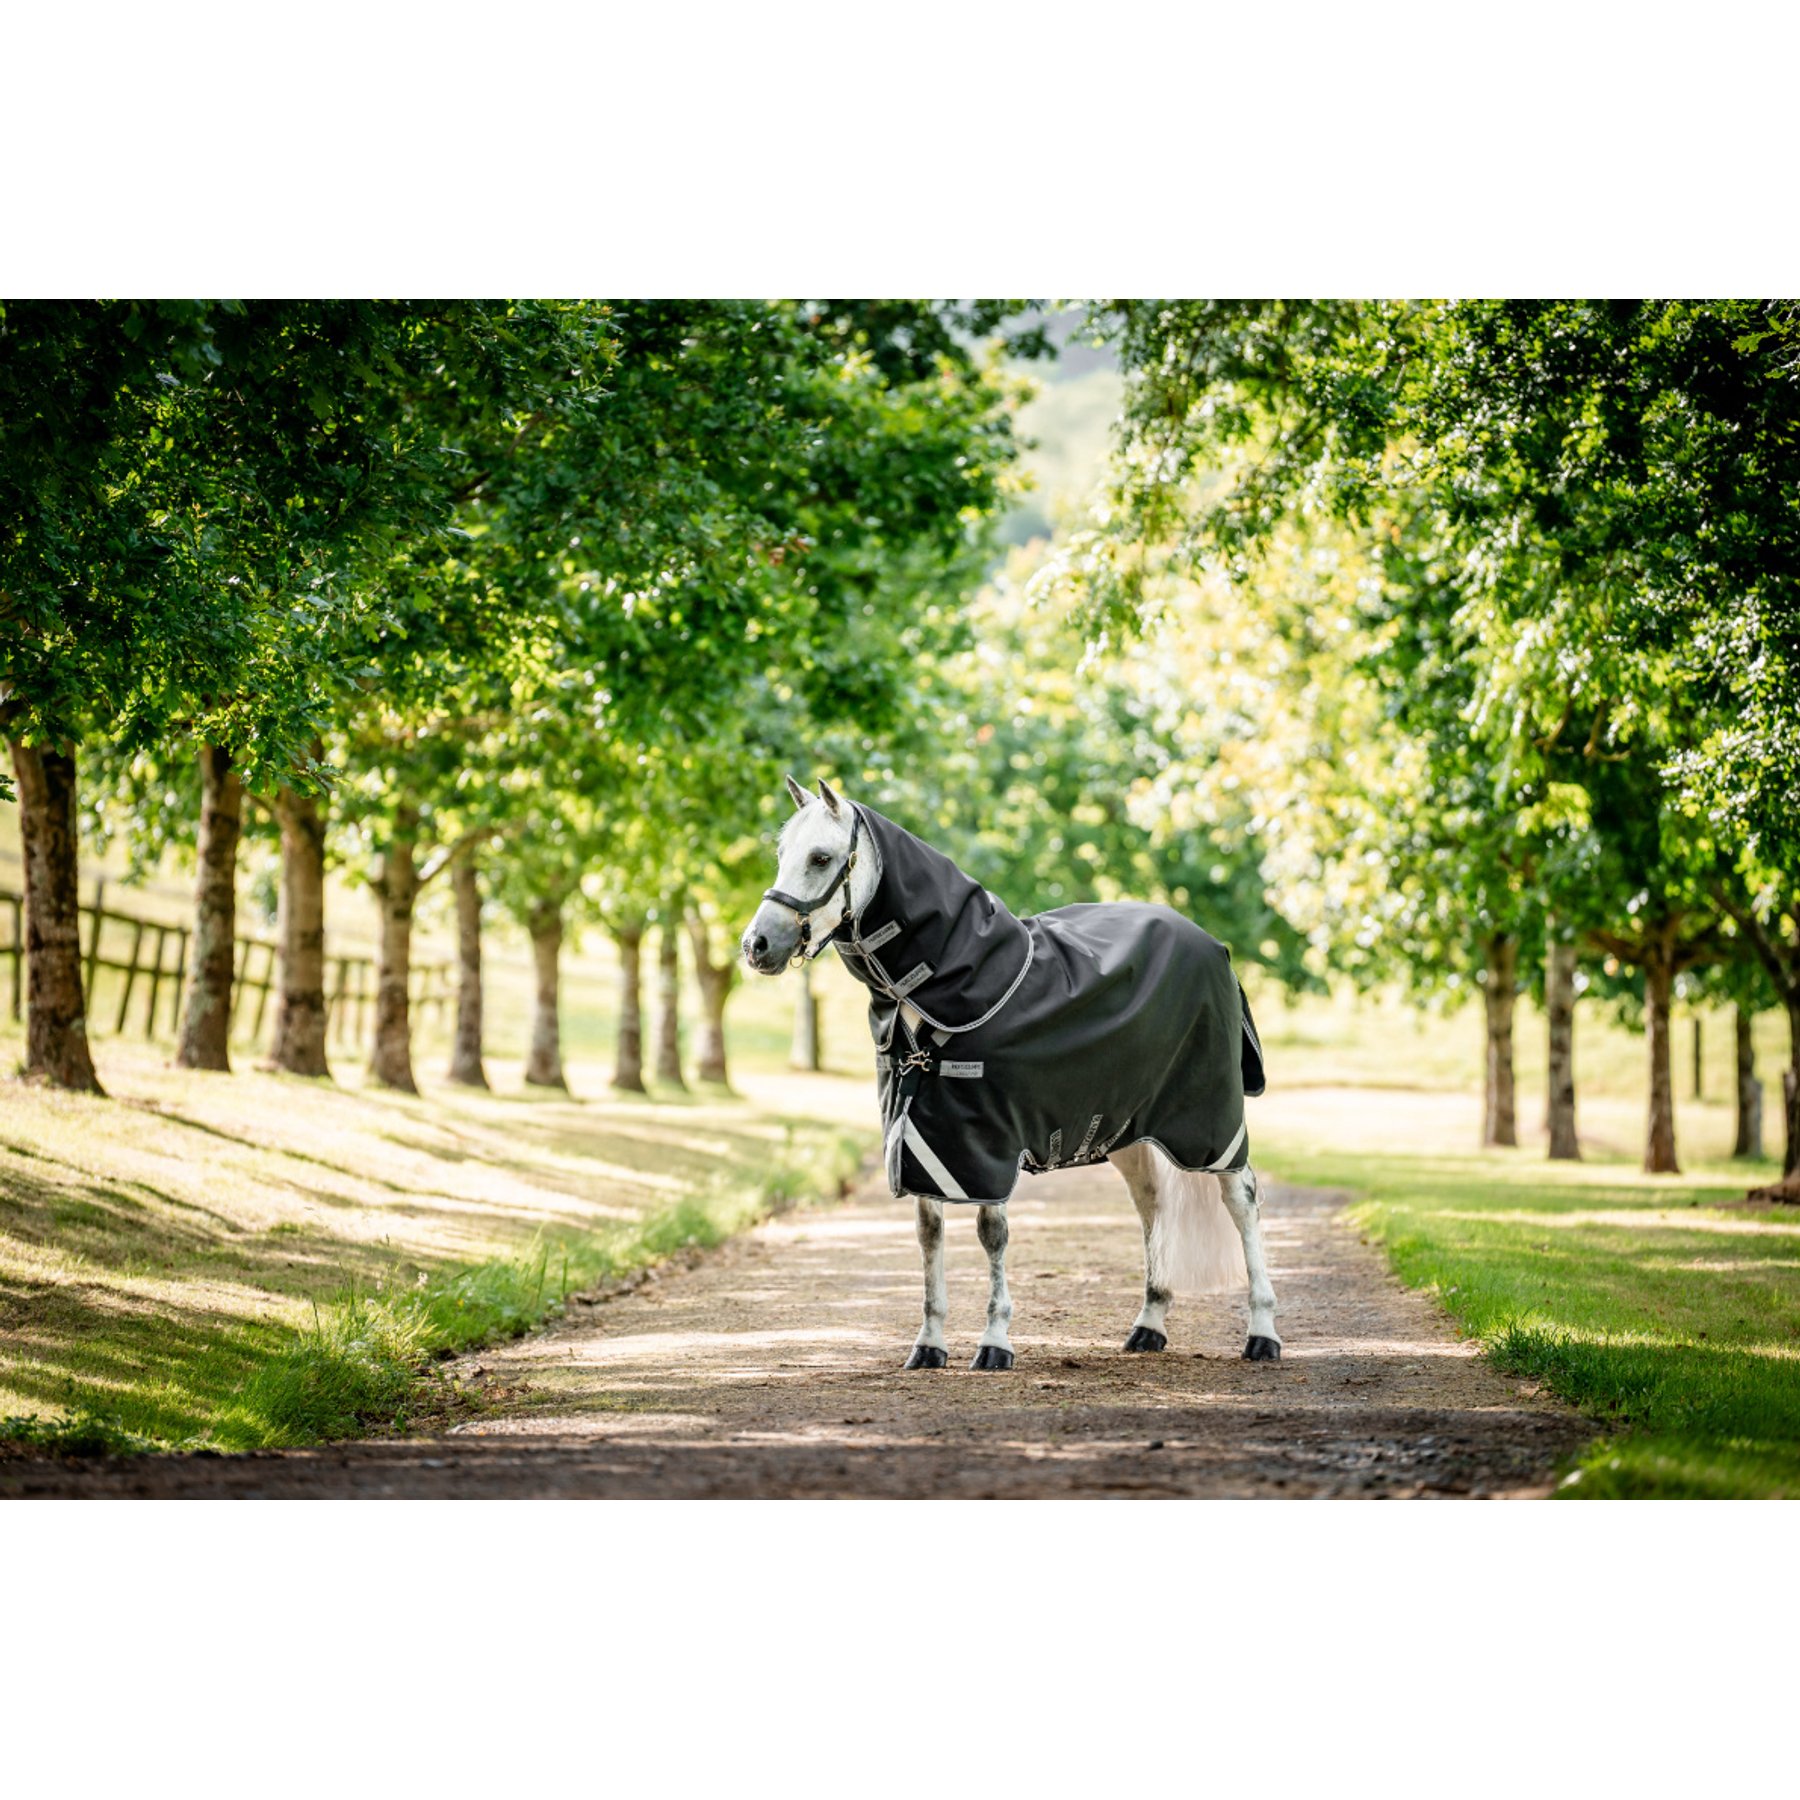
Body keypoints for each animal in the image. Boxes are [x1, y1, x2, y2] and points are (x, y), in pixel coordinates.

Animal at [741, 776, 1280, 1372]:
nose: (756, 945)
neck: (953, 985)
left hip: (1209, 1124)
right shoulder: (928, 1138)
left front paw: (994, 1342)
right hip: (1130, 1129)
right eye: (781, 854)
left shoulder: (987, 1141)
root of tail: (1214, 945)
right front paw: (928, 1344)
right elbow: (929, 1234)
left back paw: (1262, 1332)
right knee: (1150, 1205)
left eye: (821, 857)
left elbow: (990, 1233)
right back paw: (1149, 1324)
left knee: (1243, 1202)